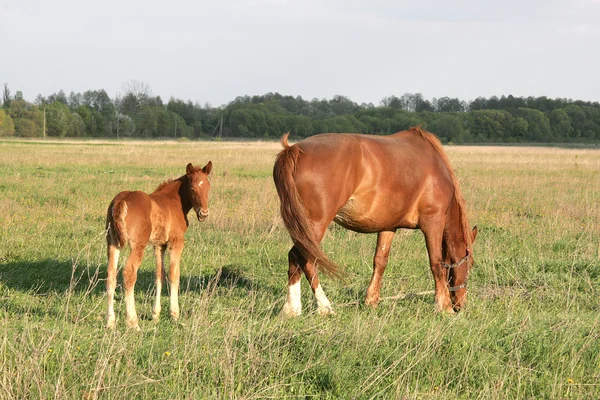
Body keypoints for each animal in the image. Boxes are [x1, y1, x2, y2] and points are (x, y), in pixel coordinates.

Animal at [105, 161, 213, 330]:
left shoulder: (159, 245)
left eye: (208, 187)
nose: (204, 213)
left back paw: (110, 322)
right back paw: (133, 322)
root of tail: (121, 201)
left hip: (112, 243)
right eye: (192, 189)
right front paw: (174, 314)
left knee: (110, 275)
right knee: (129, 274)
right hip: (137, 246)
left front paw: (155, 315)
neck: (173, 201)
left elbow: (159, 275)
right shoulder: (176, 242)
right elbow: (174, 274)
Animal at [274, 127, 478, 316]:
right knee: (303, 259)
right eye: (471, 264)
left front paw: (371, 301)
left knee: (297, 259)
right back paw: (320, 307)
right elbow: (436, 263)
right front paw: (444, 307)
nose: (460, 305)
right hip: (315, 226)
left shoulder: (389, 227)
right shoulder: (433, 222)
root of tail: (293, 150)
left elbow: (380, 261)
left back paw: (293, 309)